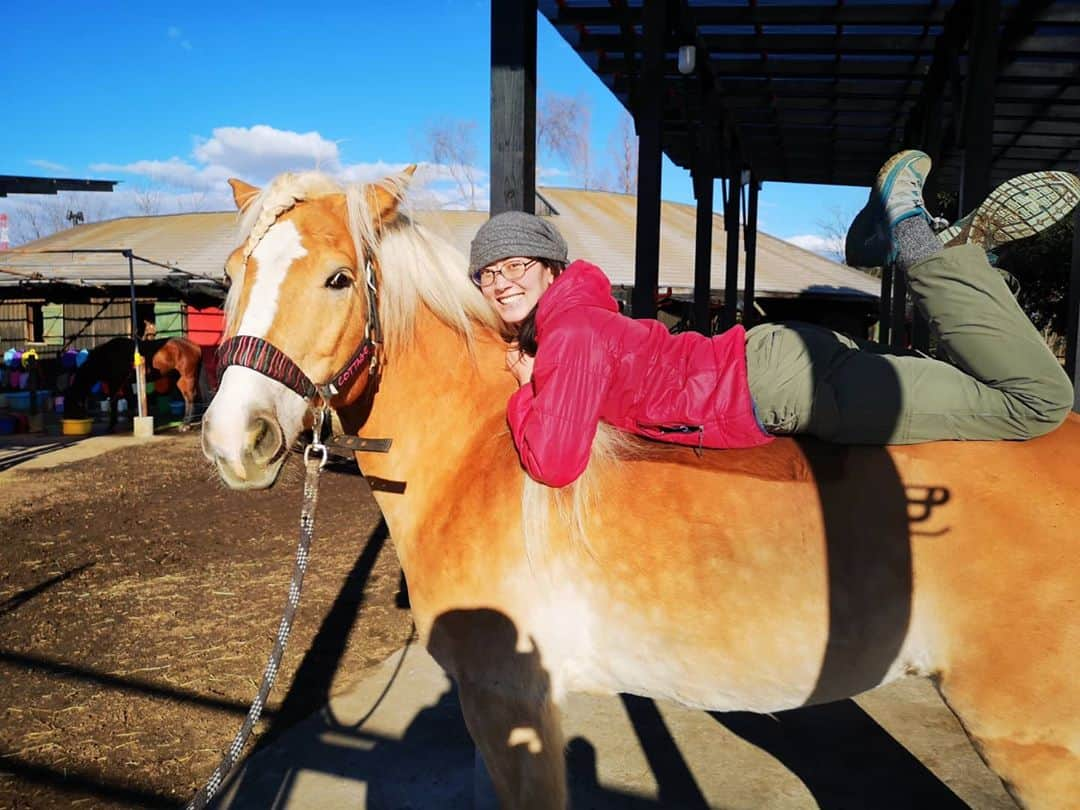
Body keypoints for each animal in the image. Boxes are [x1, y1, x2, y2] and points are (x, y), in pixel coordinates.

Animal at [65, 336, 203, 432]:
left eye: (73, 400)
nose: (73, 417)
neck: (107, 356)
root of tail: (195, 346)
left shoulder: (115, 382)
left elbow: (114, 402)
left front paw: (111, 427)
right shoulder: (125, 384)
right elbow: (129, 401)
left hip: (187, 377)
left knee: (190, 398)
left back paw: (185, 425)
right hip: (180, 379)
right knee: (188, 398)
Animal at [203, 172, 1080, 810]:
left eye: (338, 279)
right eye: (232, 276)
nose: (233, 440)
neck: (475, 461)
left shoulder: (512, 705)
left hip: (1035, 746)